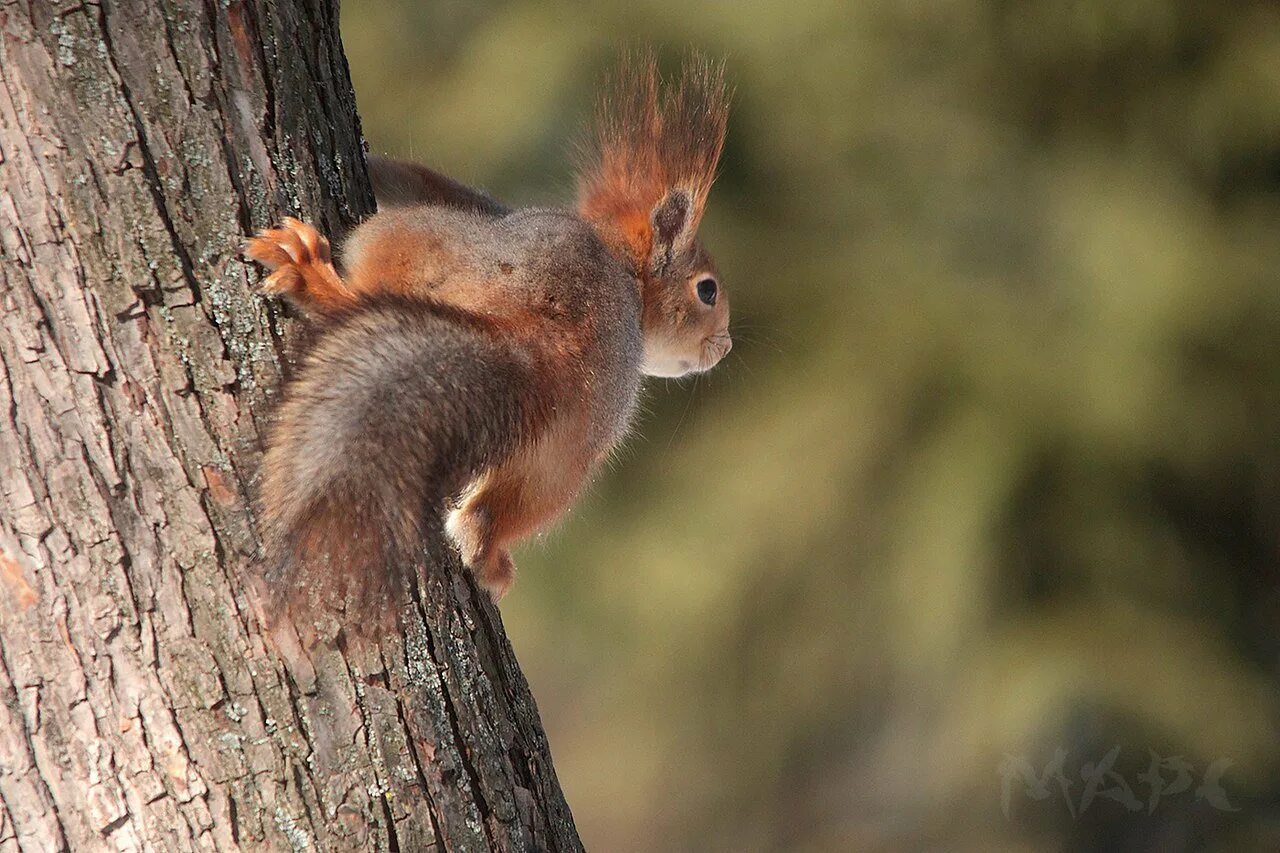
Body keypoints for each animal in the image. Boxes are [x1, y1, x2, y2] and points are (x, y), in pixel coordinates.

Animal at [245, 49, 737, 627]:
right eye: (707, 291)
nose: (725, 345)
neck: (625, 272)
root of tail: (539, 333)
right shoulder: (486, 204)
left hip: (400, 242)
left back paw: (311, 279)